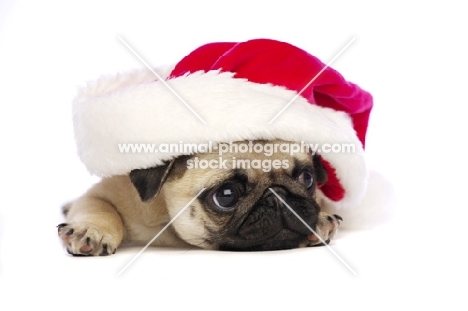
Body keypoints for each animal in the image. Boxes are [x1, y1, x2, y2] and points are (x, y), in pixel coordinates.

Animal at [59, 140, 344, 255]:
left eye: (306, 178)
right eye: (226, 195)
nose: (278, 197)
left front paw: (320, 219)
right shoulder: (101, 195)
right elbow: (101, 210)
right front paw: (93, 231)